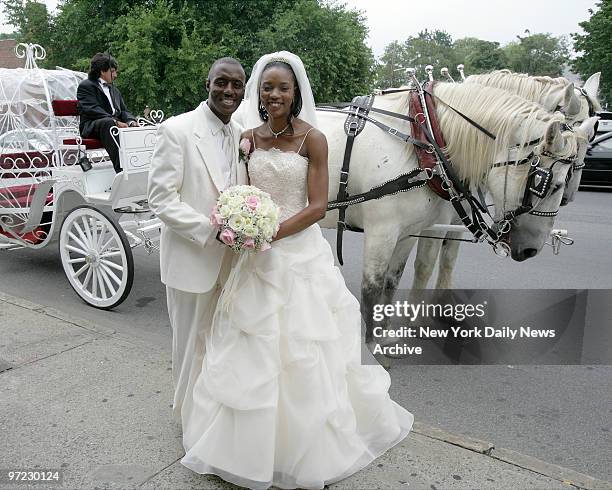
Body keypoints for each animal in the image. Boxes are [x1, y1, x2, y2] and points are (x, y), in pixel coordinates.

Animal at [318, 82, 576, 344]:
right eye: (551, 185)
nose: (532, 250)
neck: (421, 140)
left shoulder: (408, 232)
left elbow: (393, 280)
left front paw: (388, 333)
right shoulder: (382, 231)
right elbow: (372, 286)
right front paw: (373, 342)